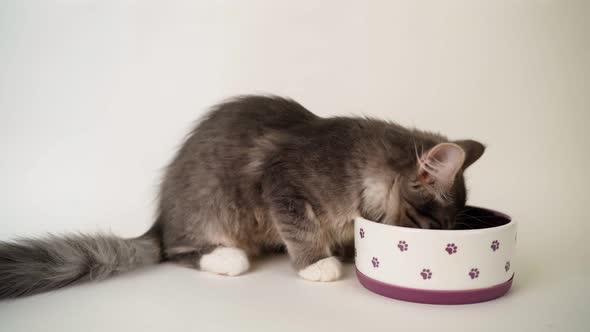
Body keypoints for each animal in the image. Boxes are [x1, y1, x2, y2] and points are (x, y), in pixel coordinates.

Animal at [0, 95, 486, 298]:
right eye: (436, 226)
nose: (446, 239)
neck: (364, 165)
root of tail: (160, 219)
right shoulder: (283, 184)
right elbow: (302, 227)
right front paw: (317, 263)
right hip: (211, 209)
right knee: (175, 250)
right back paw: (225, 257)